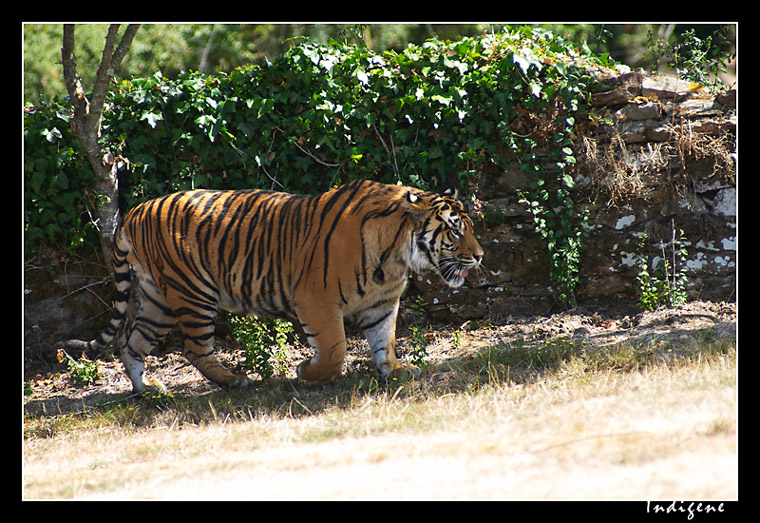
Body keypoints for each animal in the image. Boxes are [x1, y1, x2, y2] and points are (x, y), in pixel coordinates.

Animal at [62, 180, 484, 392]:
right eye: (455, 230)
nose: (480, 256)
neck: (395, 256)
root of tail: (133, 212)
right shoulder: (316, 300)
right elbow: (335, 350)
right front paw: (306, 372)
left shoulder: (381, 303)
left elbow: (385, 341)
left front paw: (395, 371)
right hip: (192, 293)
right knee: (194, 348)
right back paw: (234, 380)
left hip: (156, 300)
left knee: (131, 342)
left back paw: (148, 389)